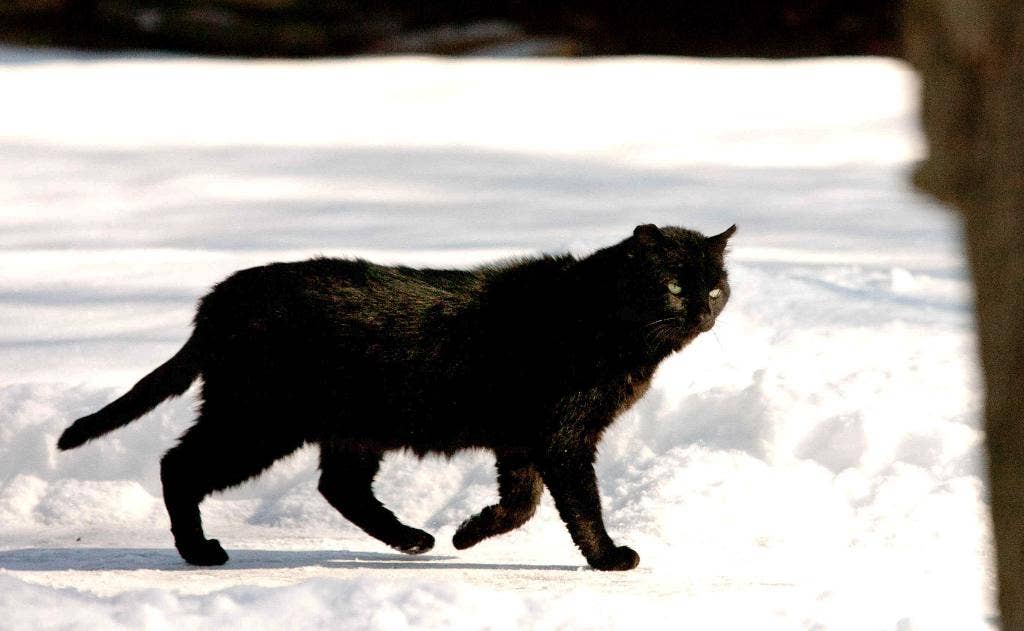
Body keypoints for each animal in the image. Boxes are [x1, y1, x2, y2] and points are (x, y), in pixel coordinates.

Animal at [58, 223, 737, 573]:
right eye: (675, 285)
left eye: (715, 286)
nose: (702, 310)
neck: (599, 321)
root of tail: (221, 298)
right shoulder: (563, 439)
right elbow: (580, 506)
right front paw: (608, 558)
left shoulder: (523, 441)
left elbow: (520, 505)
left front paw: (468, 533)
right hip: (259, 419)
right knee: (179, 465)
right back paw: (199, 552)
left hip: (347, 427)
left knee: (339, 487)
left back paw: (414, 539)